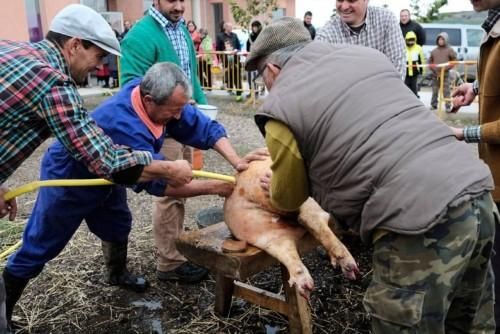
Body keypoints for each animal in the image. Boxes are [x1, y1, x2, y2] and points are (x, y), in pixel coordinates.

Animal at [224, 158, 360, 298]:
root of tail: (238, 186)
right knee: (312, 220)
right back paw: (351, 268)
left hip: (262, 229)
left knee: (287, 250)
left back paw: (306, 288)